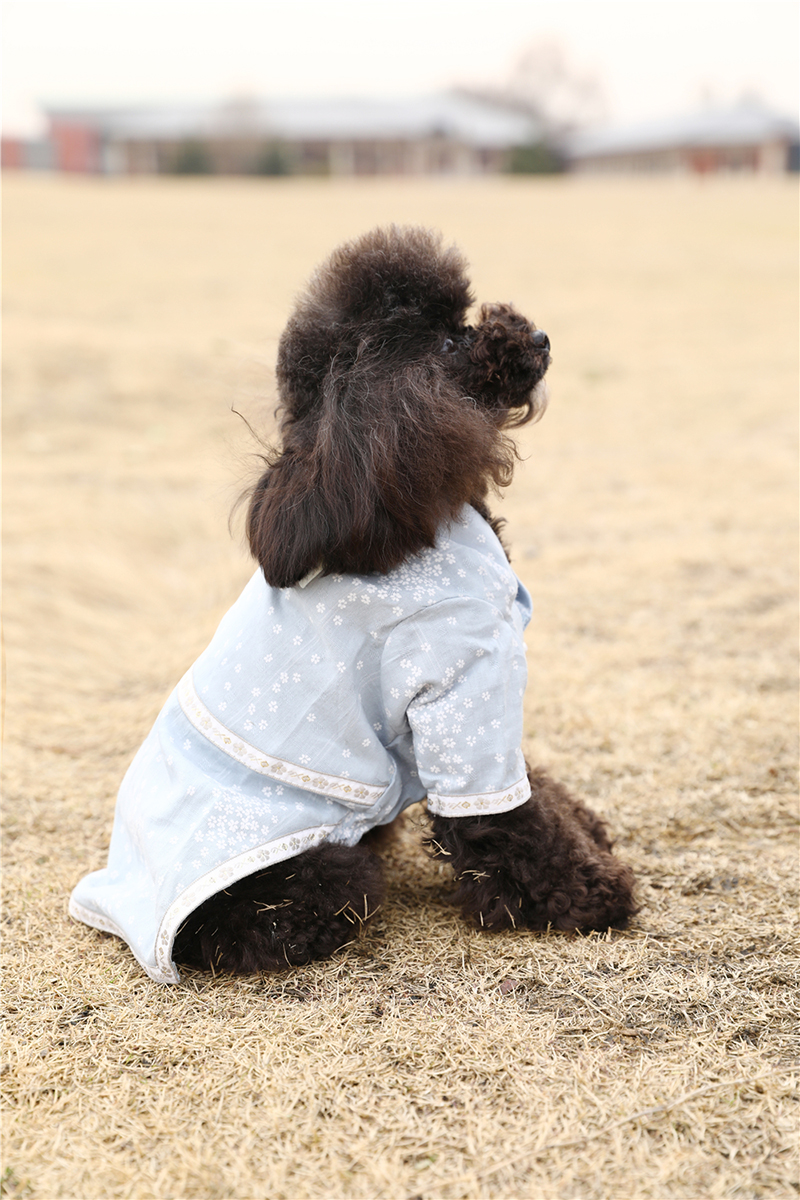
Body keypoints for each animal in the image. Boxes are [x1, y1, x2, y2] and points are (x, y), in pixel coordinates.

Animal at [69, 226, 636, 983]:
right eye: (449, 343)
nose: (542, 337)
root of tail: (119, 910)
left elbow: (532, 788)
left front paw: (587, 826)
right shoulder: (464, 690)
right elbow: (505, 817)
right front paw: (589, 894)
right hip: (306, 872)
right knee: (290, 911)